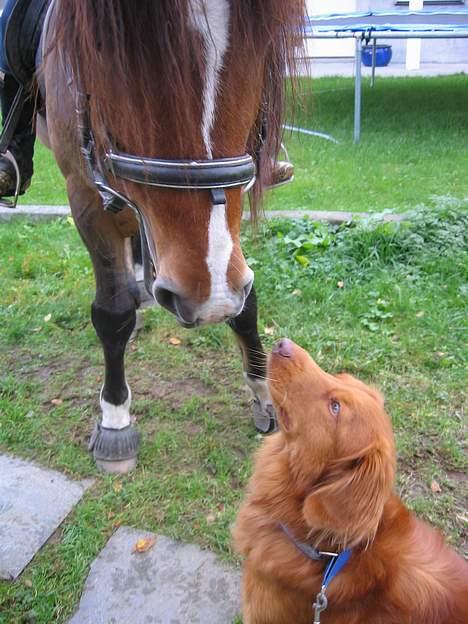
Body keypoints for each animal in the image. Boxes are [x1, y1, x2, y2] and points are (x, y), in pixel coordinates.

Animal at [37, 0, 308, 472]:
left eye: (261, 47)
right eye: (113, 54)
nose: (206, 295)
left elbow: (247, 303)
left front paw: (263, 393)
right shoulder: (86, 200)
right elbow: (112, 314)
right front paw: (115, 420)